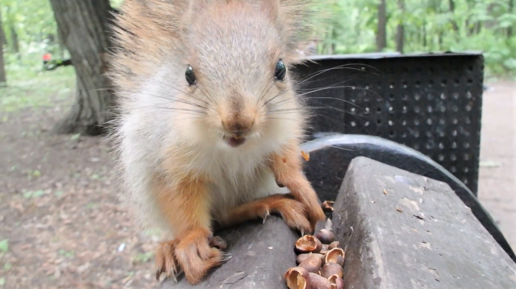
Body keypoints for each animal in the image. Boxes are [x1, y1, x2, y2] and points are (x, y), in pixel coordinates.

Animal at [109, 0, 326, 284]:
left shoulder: (284, 127)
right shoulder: (169, 159)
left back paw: (269, 203)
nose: (237, 122)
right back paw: (170, 248)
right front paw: (192, 242)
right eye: (189, 74)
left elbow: (286, 159)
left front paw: (302, 188)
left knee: (227, 213)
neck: (234, 149)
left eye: (281, 69)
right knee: (215, 215)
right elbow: (180, 200)